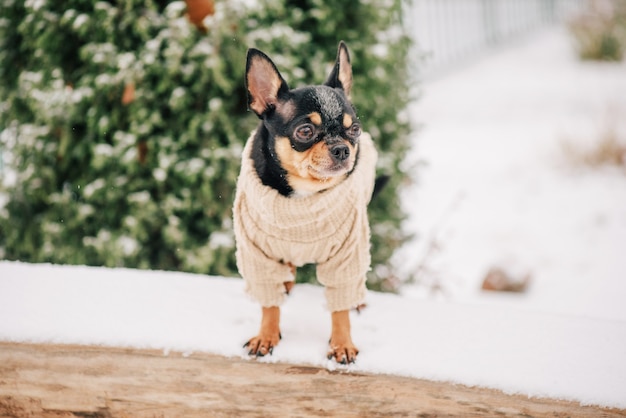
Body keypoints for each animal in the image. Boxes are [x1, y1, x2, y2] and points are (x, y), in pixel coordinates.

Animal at [230, 40, 372, 364]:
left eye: (354, 130)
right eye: (305, 131)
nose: (342, 149)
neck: (302, 198)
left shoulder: (346, 255)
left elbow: (340, 308)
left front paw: (342, 344)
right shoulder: (259, 256)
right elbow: (269, 303)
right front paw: (266, 336)